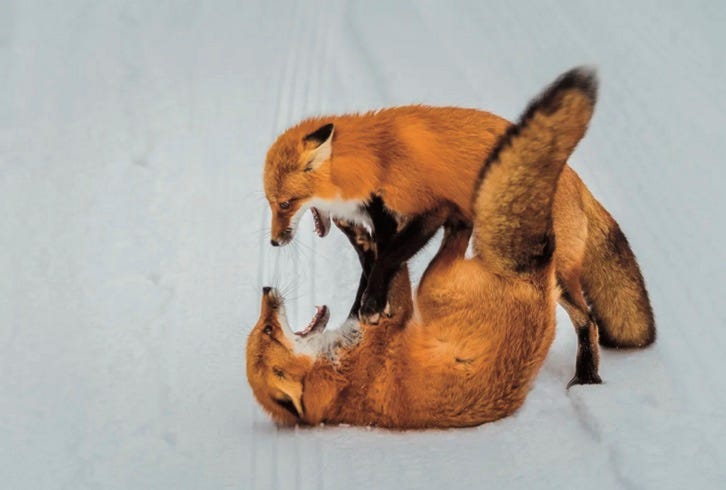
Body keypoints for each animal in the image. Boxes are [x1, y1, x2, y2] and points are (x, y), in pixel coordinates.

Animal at [250, 67, 608, 426]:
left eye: (285, 204)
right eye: (271, 203)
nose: (274, 241)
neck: (375, 159)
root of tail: (578, 183)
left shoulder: (427, 208)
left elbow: (387, 259)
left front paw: (372, 303)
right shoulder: (385, 220)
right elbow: (379, 261)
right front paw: (373, 296)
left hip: (555, 277)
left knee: (587, 319)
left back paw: (587, 376)